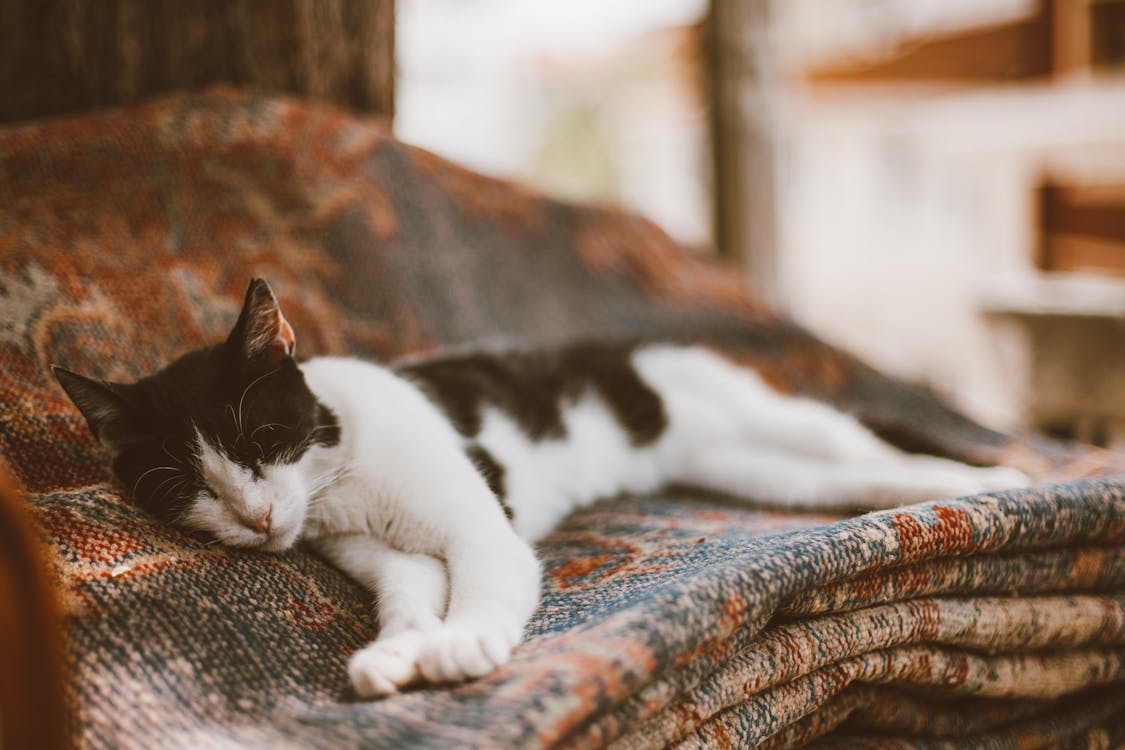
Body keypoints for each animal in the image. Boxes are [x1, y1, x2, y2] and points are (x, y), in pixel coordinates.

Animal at [57, 278, 1030, 701]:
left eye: (262, 442)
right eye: (192, 488)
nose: (259, 517)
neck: (339, 475)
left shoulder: (479, 528)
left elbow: (483, 583)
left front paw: (461, 644)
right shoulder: (383, 552)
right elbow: (409, 594)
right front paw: (397, 654)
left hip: (761, 418)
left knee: (858, 441)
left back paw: (991, 476)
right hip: (756, 469)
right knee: (834, 473)